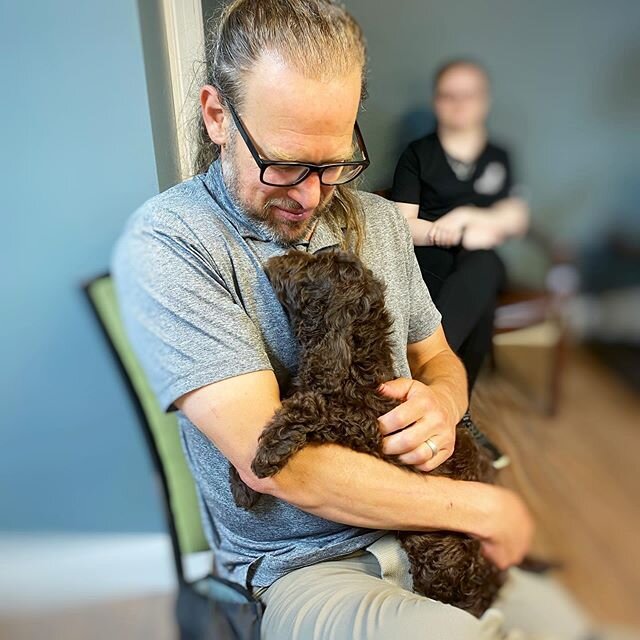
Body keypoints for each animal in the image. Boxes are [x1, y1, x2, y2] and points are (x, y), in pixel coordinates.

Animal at [230, 249, 504, 616]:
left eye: (312, 266)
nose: (283, 255)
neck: (354, 363)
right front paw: (241, 485)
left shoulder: (369, 423)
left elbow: (314, 408)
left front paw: (266, 456)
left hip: (439, 547)